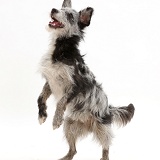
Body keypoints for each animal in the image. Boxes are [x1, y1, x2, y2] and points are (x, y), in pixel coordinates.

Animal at [37, 0, 134, 159]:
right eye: (61, 9)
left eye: (70, 16)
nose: (53, 9)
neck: (61, 50)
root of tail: (108, 110)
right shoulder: (50, 81)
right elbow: (40, 98)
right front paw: (42, 115)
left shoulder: (77, 85)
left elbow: (61, 101)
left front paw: (56, 119)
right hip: (69, 125)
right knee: (73, 150)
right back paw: (65, 157)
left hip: (102, 128)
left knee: (106, 147)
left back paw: (104, 157)